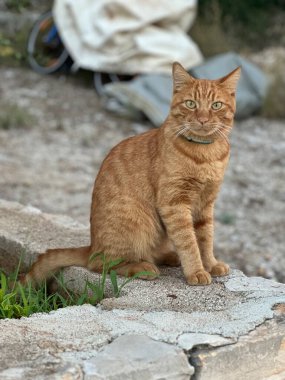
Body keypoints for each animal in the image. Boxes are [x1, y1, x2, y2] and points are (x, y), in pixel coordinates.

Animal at [23, 61, 240, 284]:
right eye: (191, 104)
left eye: (216, 105)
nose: (203, 119)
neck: (206, 156)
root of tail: (91, 246)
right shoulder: (175, 204)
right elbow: (188, 242)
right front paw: (196, 271)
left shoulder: (205, 203)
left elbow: (205, 239)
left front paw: (211, 264)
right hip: (136, 221)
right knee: (102, 264)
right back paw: (143, 267)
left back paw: (168, 256)